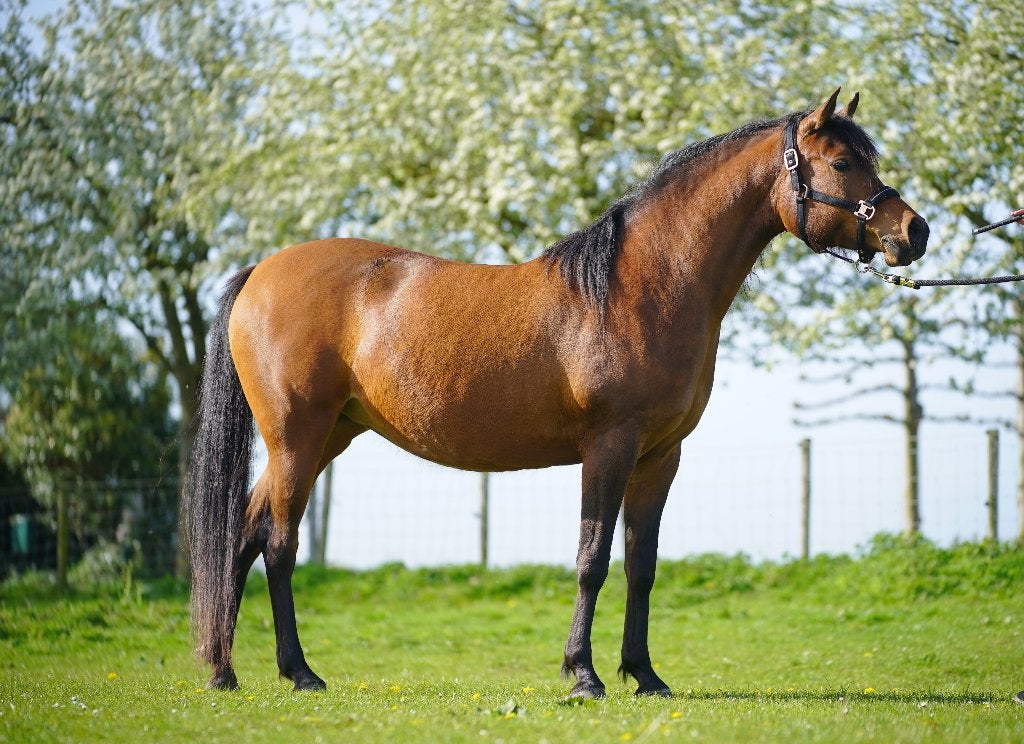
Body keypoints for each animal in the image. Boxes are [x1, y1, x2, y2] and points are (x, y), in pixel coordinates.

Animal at [185, 89, 929, 698]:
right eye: (842, 164)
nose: (913, 231)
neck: (641, 286)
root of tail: (260, 272)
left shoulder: (660, 456)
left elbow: (641, 564)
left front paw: (645, 675)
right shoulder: (609, 446)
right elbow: (592, 559)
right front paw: (584, 675)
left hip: (325, 436)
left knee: (244, 534)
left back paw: (224, 671)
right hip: (297, 437)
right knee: (278, 544)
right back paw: (299, 672)